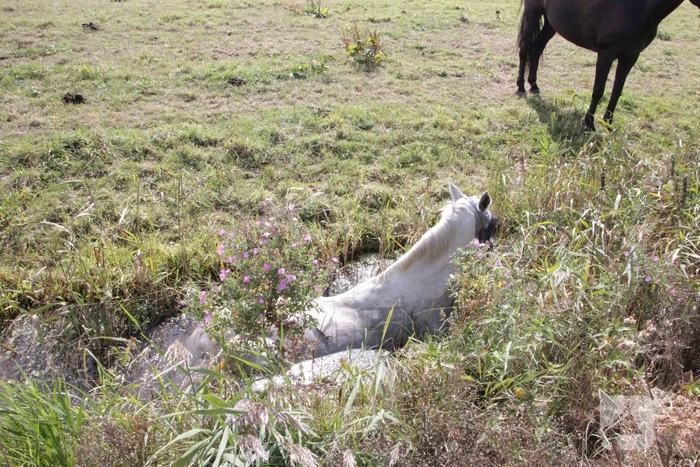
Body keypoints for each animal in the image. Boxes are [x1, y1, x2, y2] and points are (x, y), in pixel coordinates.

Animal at [516, 0, 700, 131]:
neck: (639, 8)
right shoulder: (606, 54)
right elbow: (598, 90)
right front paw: (589, 124)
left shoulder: (630, 57)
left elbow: (617, 91)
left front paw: (608, 124)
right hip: (533, 13)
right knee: (525, 50)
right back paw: (521, 88)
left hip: (551, 23)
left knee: (537, 49)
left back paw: (534, 85)